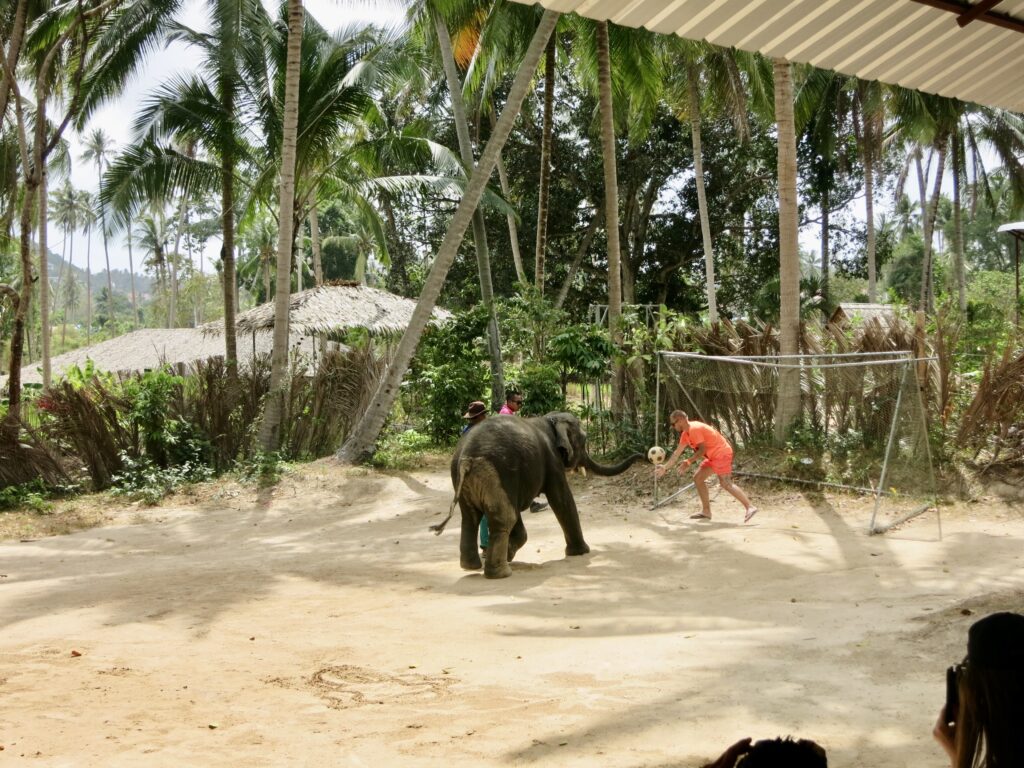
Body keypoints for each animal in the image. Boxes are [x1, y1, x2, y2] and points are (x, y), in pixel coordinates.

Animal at [430, 411, 638, 581]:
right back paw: (500, 573)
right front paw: (581, 553)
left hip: (464, 480)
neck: (550, 419)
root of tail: (467, 460)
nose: (641, 454)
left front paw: (510, 553)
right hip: (497, 474)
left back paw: (472, 565)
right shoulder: (552, 461)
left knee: (470, 518)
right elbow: (561, 499)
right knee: (504, 517)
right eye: (584, 439)